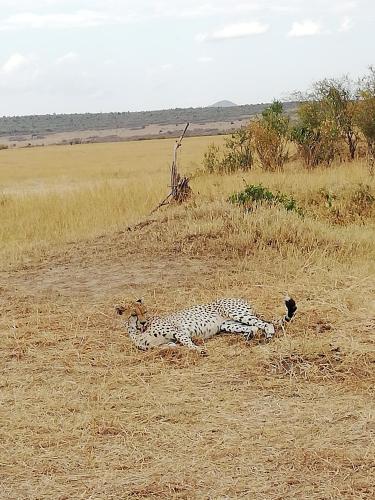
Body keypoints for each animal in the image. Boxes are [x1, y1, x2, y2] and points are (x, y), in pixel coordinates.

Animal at [116, 296, 298, 356]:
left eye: (145, 312)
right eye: (134, 314)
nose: (144, 322)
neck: (138, 331)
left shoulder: (179, 331)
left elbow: (187, 343)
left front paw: (198, 349)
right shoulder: (161, 344)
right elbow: (169, 346)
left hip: (236, 313)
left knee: (265, 324)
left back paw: (269, 335)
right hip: (228, 324)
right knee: (252, 328)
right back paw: (248, 337)